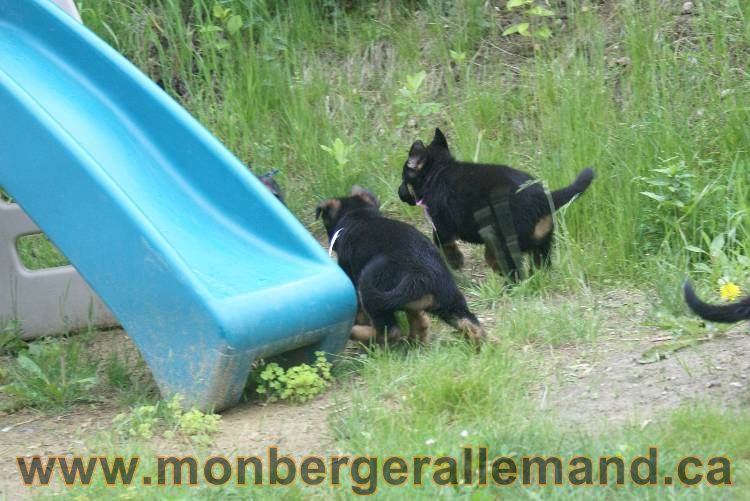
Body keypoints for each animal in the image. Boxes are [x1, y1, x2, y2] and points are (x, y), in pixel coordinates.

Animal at [316, 186, 488, 346]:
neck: (359, 217)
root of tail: (422, 275)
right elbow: (417, 318)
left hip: (372, 292)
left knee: (389, 331)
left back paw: (354, 333)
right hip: (450, 300)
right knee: (471, 323)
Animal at [396, 129, 596, 276]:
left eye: (403, 178)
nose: (398, 192)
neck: (438, 172)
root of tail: (540, 197)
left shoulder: (442, 226)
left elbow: (442, 244)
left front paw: (456, 262)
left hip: (505, 244)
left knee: (515, 273)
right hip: (542, 243)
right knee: (539, 267)